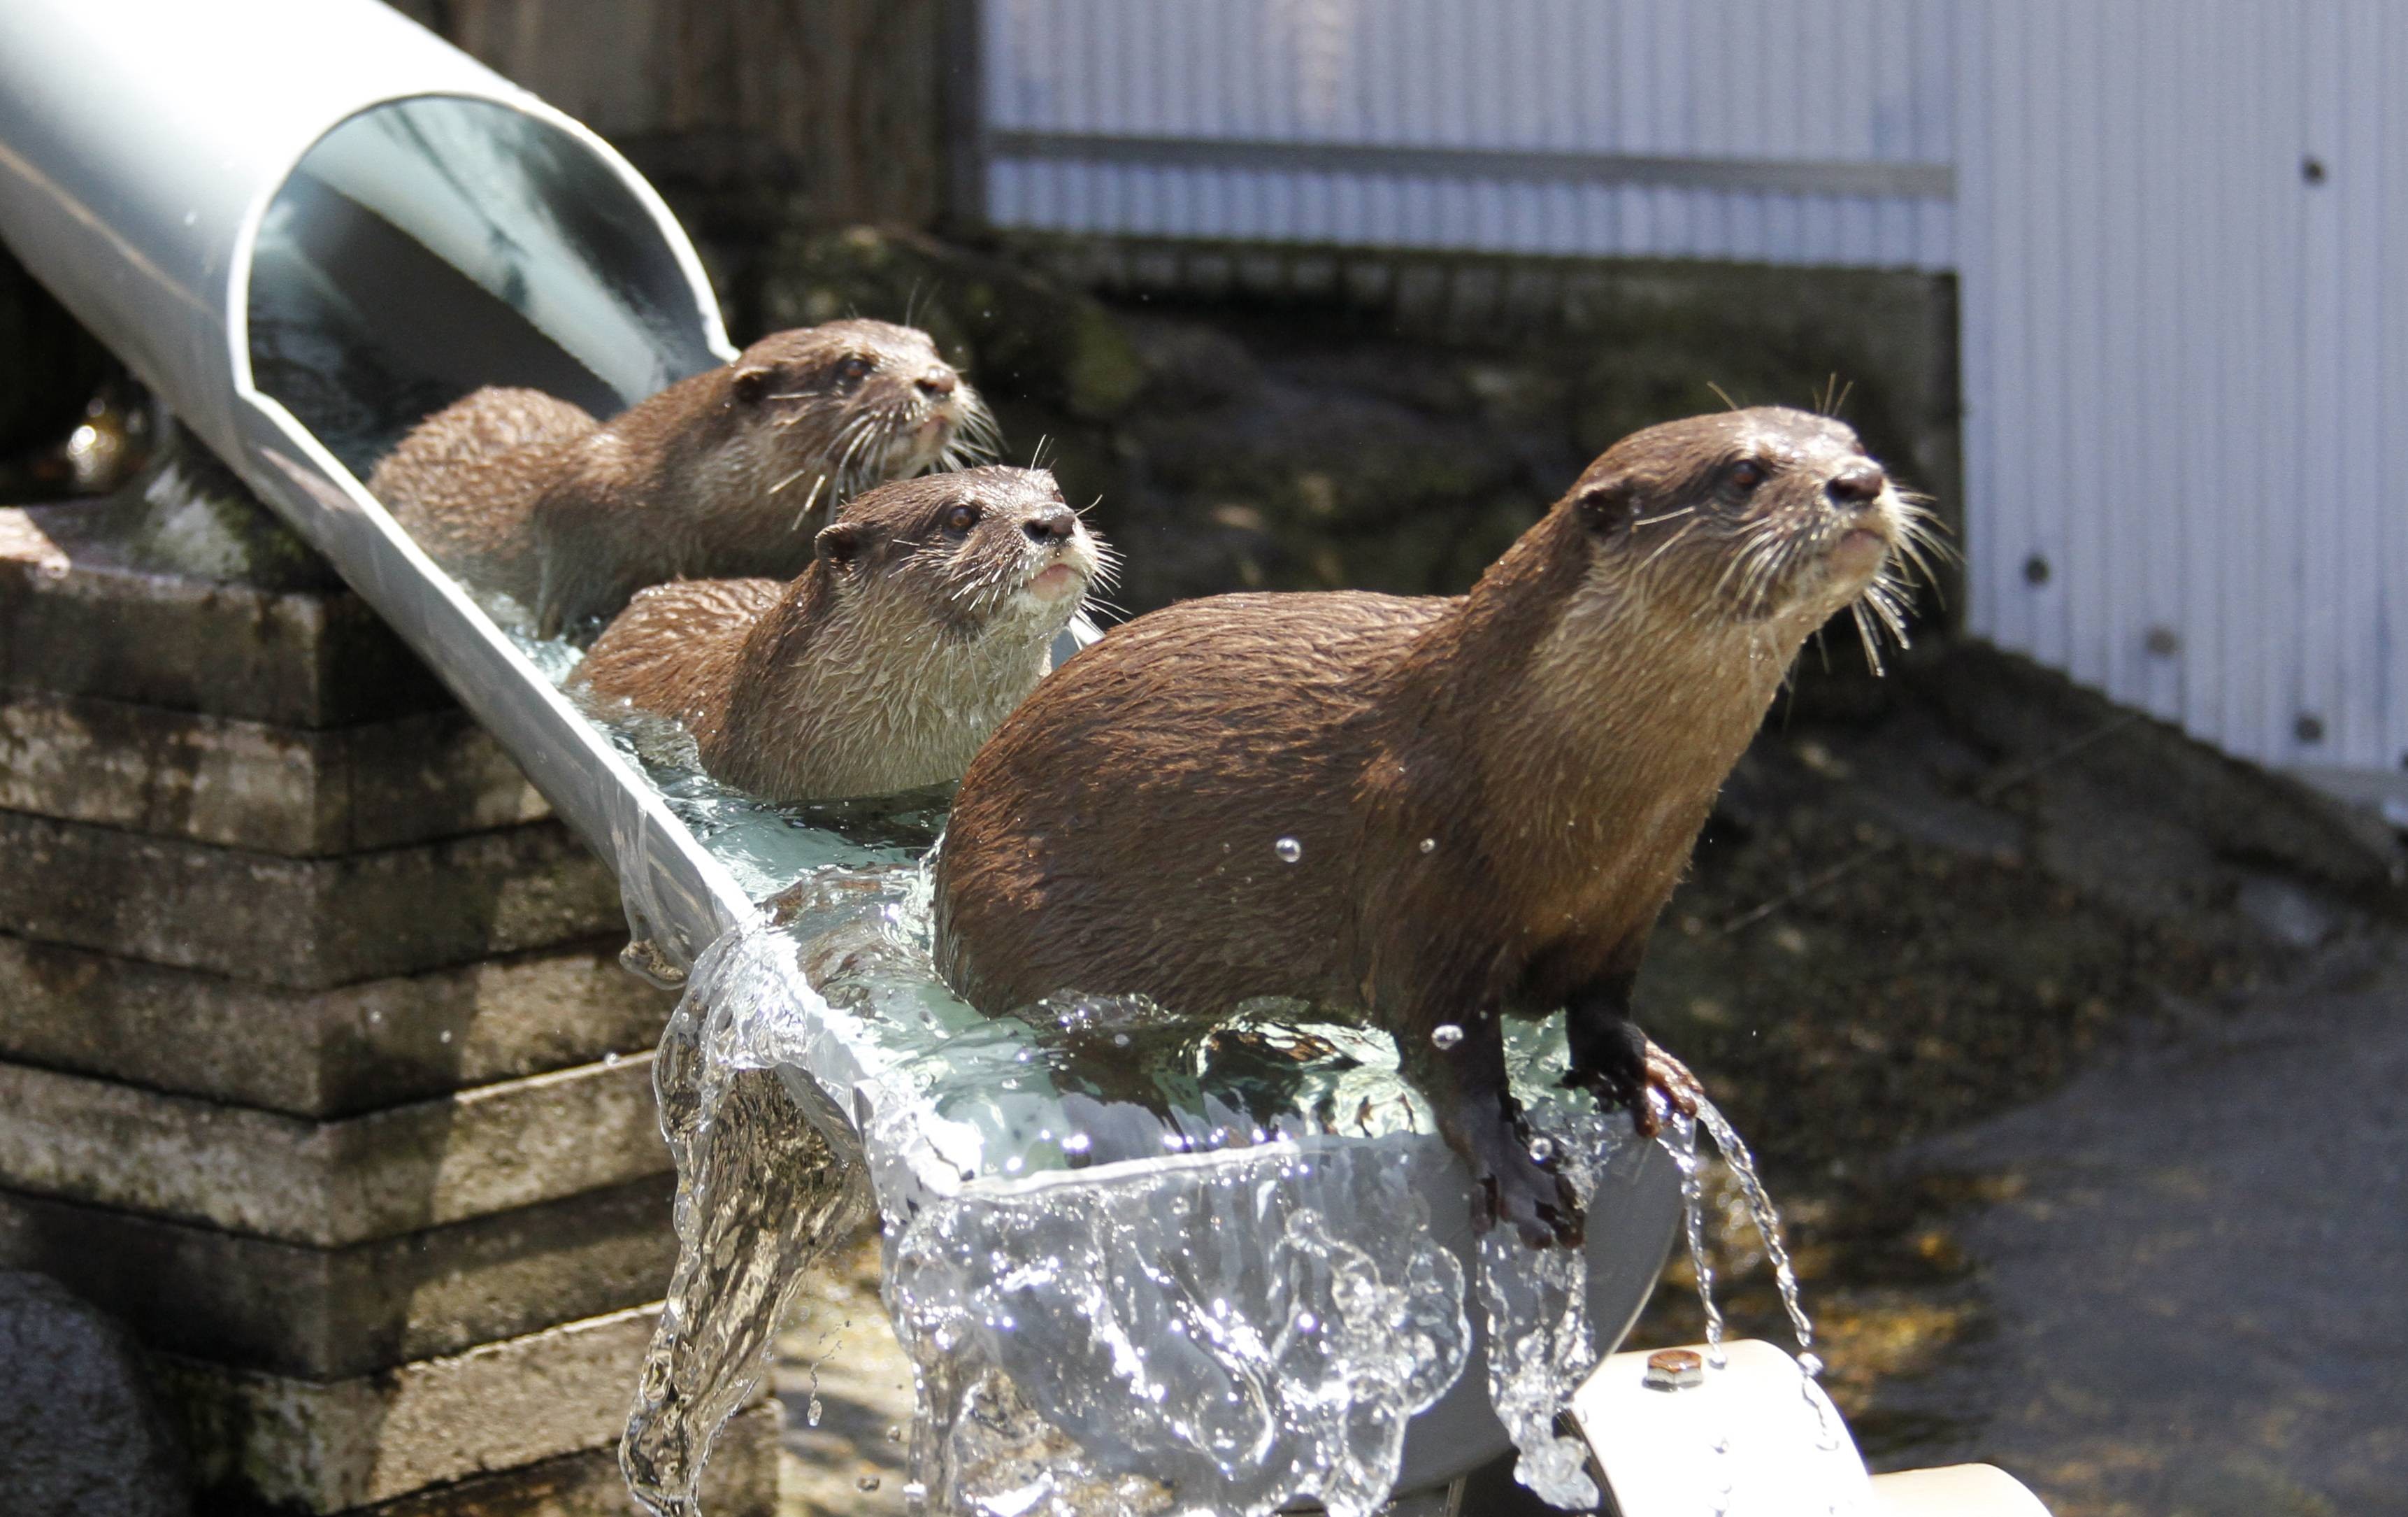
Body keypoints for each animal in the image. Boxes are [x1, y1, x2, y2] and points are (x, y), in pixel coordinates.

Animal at [929, 406, 1926, 1252]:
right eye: (1745, 472)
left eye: (1849, 439)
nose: (1861, 481)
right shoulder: (1426, 877)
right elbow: (1454, 1061)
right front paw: (1520, 1173)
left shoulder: (1637, 900)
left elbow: (1604, 1004)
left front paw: (1641, 1069)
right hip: (1023, 917)